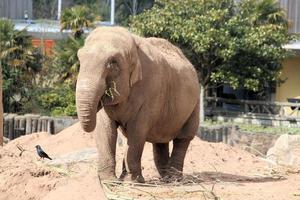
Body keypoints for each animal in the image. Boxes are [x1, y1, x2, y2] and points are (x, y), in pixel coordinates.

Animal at [76, 27, 200, 184]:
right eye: (79, 58)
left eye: (113, 63)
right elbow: (105, 129)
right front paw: (109, 181)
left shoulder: (152, 91)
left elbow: (137, 131)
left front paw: (133, 181)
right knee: (160, 140)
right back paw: (163, 177)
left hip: (195, 104)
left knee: (183, 138)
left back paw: (173, 179)